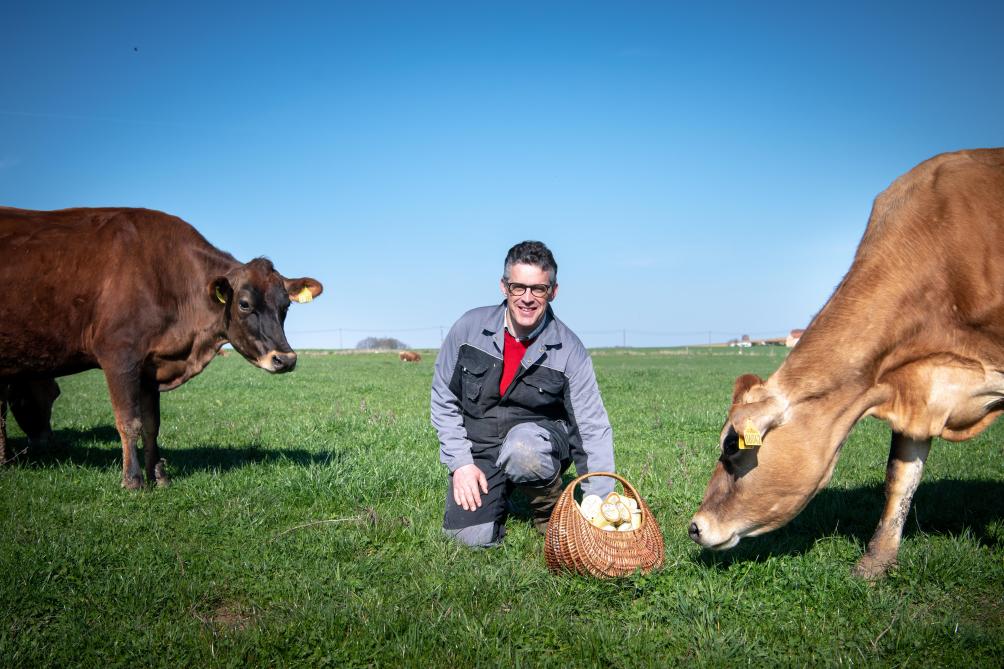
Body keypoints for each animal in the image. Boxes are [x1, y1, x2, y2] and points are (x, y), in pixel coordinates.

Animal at [0, 205, 321, 488]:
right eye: (244, 304)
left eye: (285, 306)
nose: (285, 359)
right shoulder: (120, 357)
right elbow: (129, 422)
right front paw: (133, 480)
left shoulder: (149, 365)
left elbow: (151, 424)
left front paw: (159, 476)